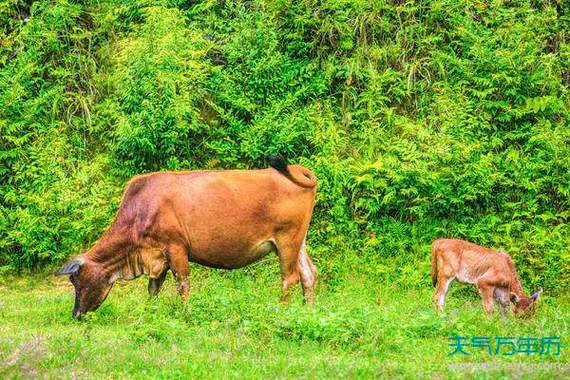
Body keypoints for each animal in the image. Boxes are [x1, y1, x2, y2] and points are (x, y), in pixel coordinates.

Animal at [55, 156, 318, 320]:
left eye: (76, 281)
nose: (75, 315)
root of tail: (296, 169)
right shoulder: (157, 257)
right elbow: (153, 289)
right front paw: (149, 313)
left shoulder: (176, 247)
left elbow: (182, 284)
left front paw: (185, 313)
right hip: (298, 241)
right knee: (308, 274)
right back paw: (308, 311)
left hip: (287, 240)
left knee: (289, 278)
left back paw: (283, 311)